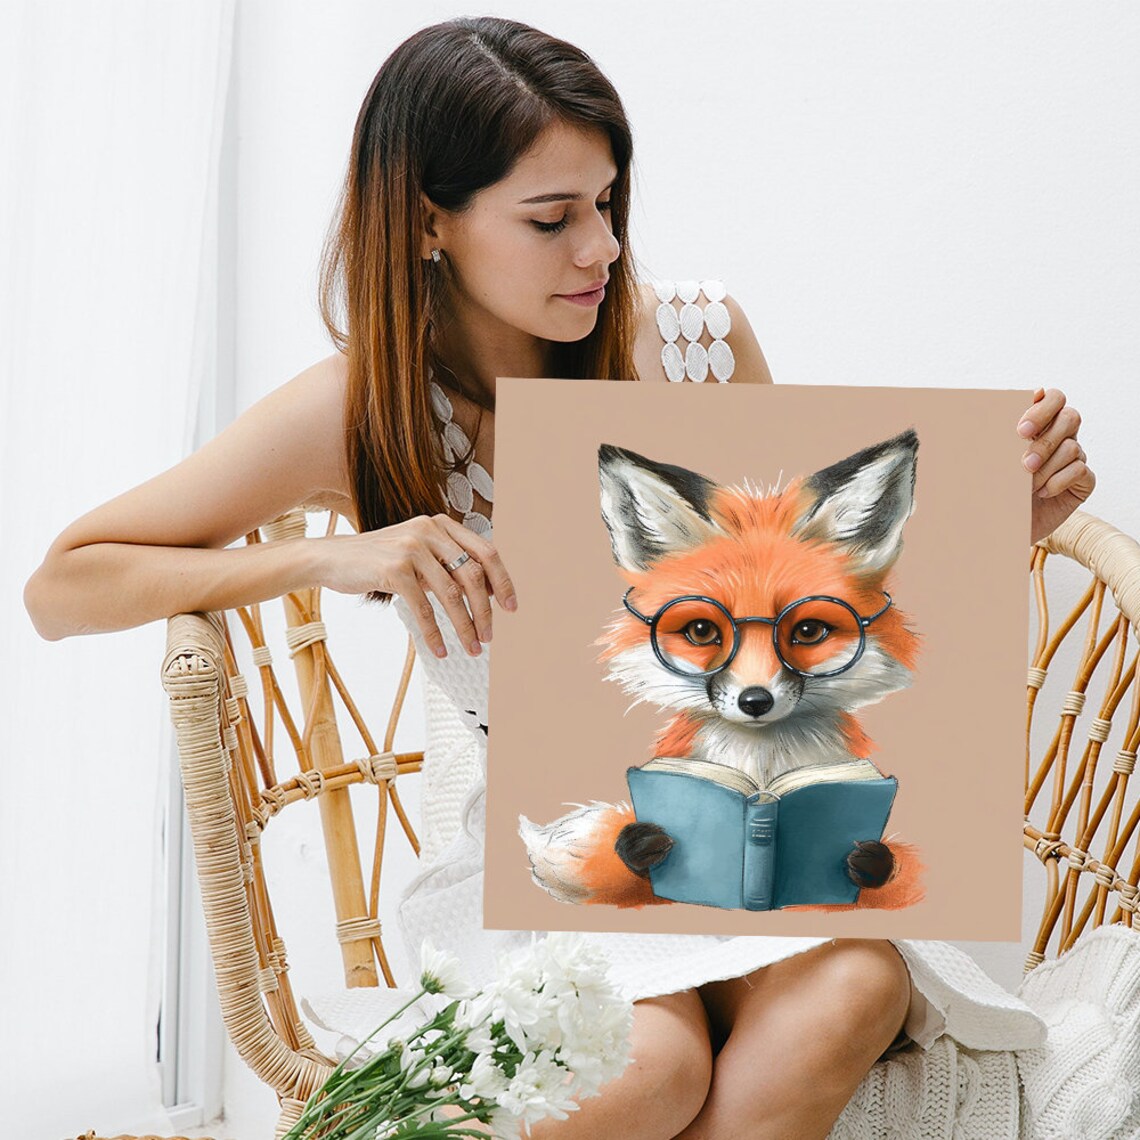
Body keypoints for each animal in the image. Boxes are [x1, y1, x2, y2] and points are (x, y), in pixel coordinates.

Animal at [519, 431, 927, 911]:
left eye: (808, 630)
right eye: (702, 631)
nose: (755, 701)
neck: (762, 768)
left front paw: (873, 864)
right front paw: (638, 846)